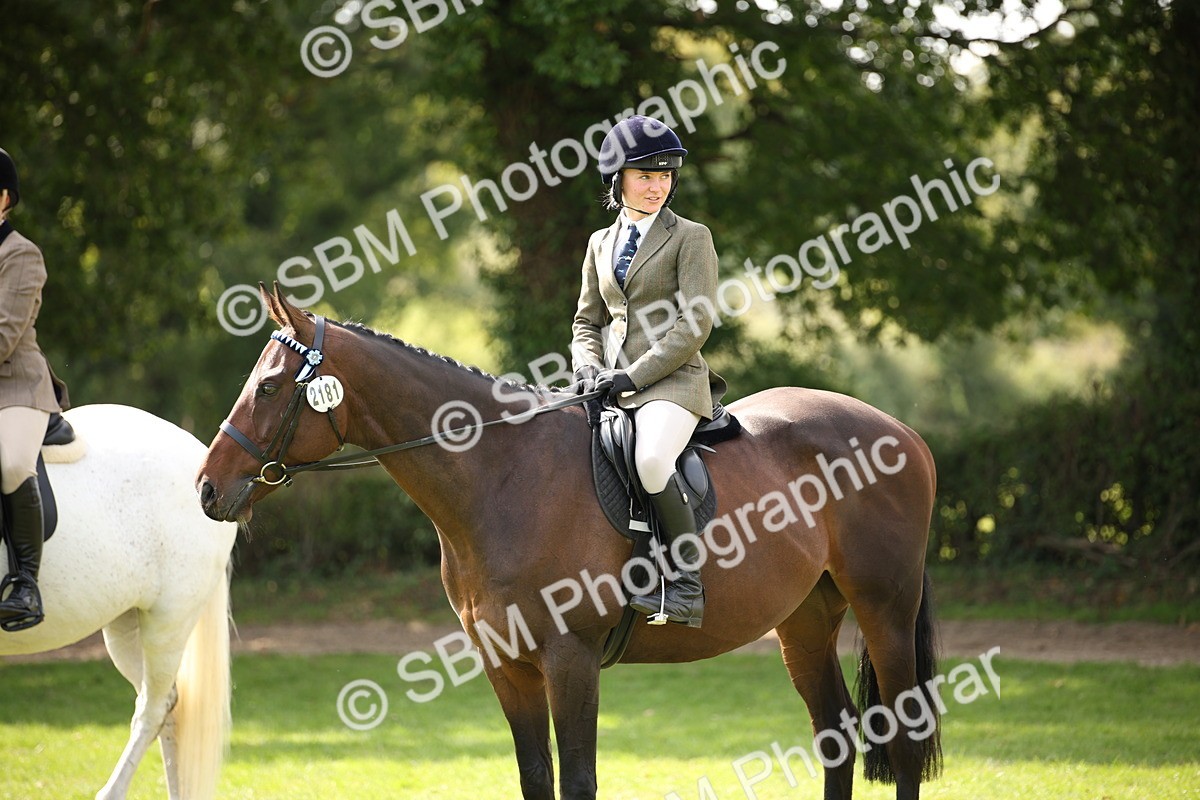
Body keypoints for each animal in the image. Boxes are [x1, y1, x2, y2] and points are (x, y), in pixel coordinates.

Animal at [197, 284, 941, 800]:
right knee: (836, 734)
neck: (501, 476)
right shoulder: (507, 666)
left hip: (885, 608)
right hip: (806, 620)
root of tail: (902, 431)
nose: (207, 489)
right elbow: (537, 778)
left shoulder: (570, 659)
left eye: (269, 387)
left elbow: (579, 781)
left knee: (902, 738)